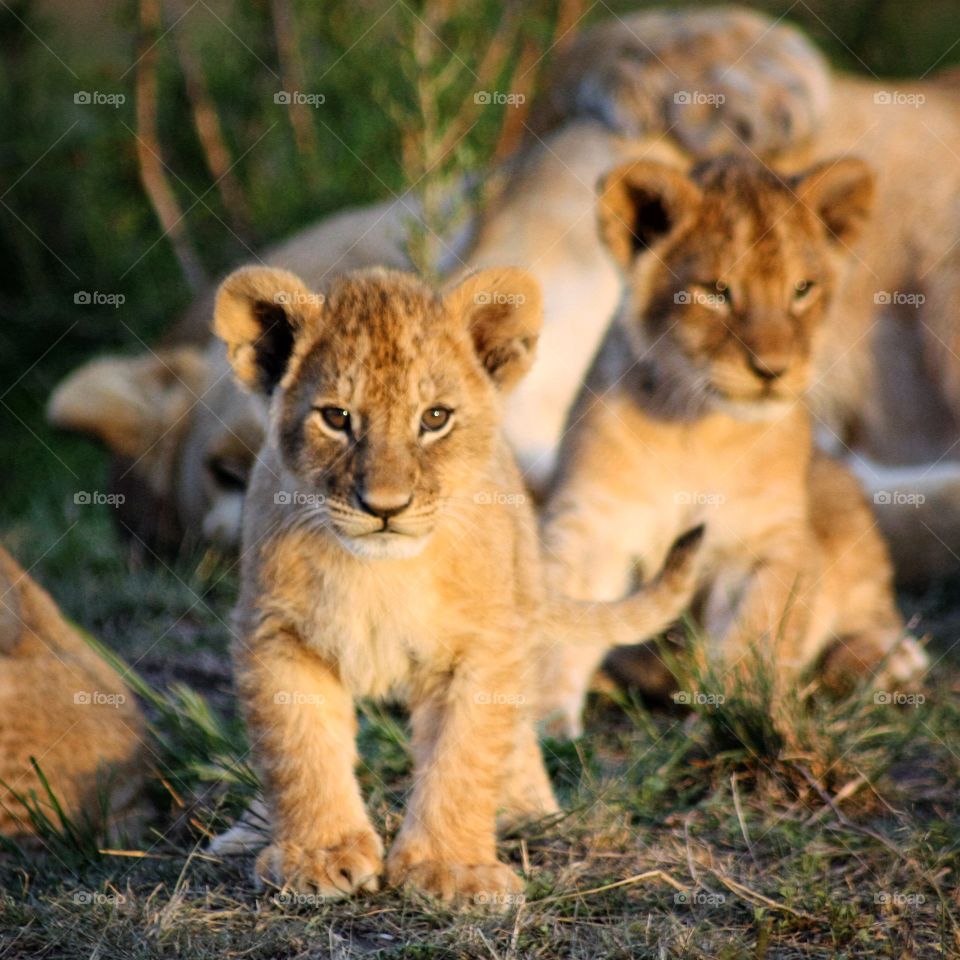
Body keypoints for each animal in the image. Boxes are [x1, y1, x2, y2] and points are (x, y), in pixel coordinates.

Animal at [210, 263, 704, 905]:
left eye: (435, 419)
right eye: (337, 418)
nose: (384, 507)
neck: (382, 574)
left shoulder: (483, 645)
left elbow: (464, 758)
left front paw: (451, 869)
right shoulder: (274, 633)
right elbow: (298, 750)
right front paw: (319, 856)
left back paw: (528, 810)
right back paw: (248, 830)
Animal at [536, 155, 928, 738]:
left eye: (802, 288)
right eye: (717, 291)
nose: (771, 370)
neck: (700, 429)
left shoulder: (768, 542)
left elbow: (757, 634)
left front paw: (744, 715)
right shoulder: (591, 524)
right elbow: (561, 624)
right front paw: (531, 721)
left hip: (837, 493)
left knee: (872, 608)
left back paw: (889, 662)